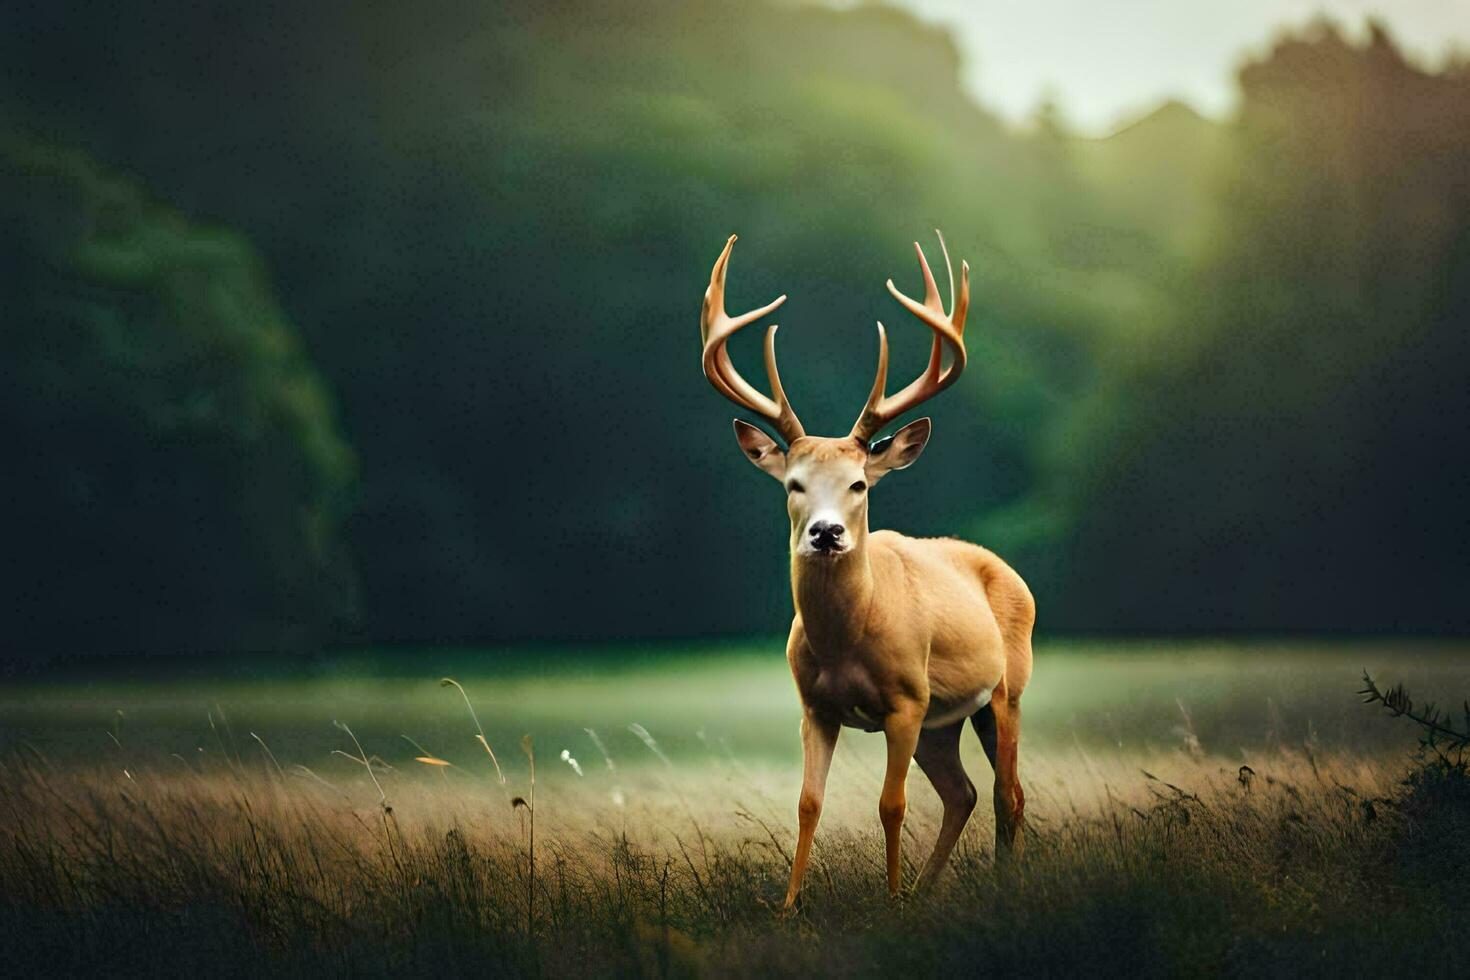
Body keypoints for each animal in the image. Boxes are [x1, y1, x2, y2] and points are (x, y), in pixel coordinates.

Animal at [696, 233, 1034, 910]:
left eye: (858, 484)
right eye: (794, 484)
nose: (826, 533)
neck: (848, 640)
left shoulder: (905, 700)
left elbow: (891, 804)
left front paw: (888, 900)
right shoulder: (815, 706)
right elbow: (808, 803)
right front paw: (789, 907)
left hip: (1004, 693)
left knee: (1007, 794)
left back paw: (986, 887)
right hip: (943, 720)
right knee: (965, 793)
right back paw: (927, 891)